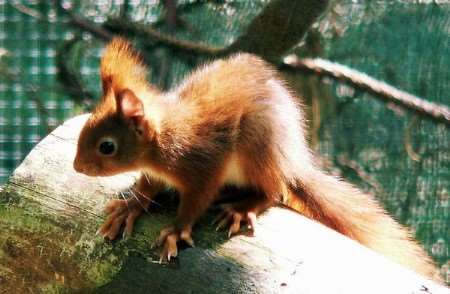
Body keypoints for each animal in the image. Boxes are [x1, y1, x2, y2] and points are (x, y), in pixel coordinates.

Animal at [73, 37, 440, 280]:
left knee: (273, 190)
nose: (78, 167)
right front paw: (130, 207)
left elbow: (196, 200)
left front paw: (177, 230)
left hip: (255, 147)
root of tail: (291, 161)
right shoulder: (154, 172)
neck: (161, 143)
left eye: (107, 146)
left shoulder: (203, 164)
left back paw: (244, 205)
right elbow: (146, 187)